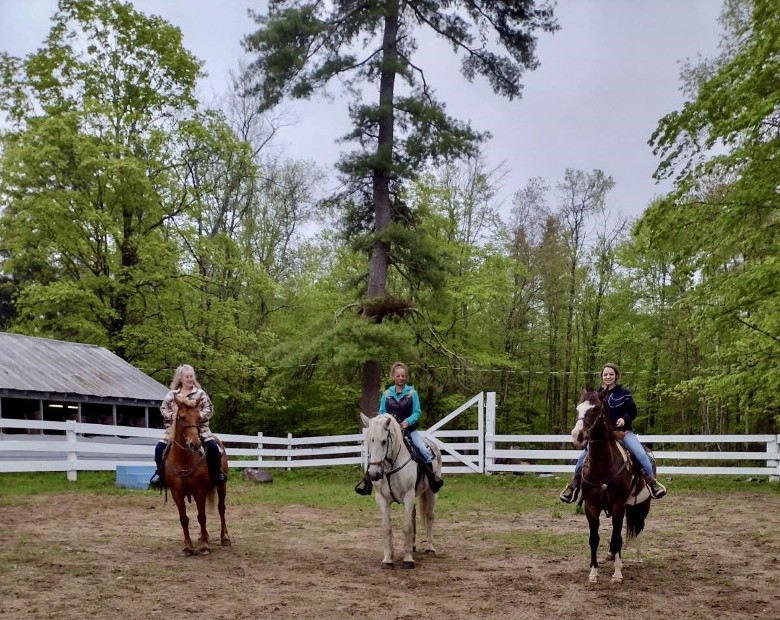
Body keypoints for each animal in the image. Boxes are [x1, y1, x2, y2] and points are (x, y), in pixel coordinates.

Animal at [161, 394, 229, 556]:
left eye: (199, 417)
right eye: (181, 417)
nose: (195, 444)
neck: (184, 459)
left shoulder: (200, 490)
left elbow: (201, 516)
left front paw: (204, 546)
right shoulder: (176, 492)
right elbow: (183, 518)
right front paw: (188, 547)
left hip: (221, 485)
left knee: (221, 508)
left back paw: (224, 537)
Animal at [358, 412, 438, 568]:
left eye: (384, 441)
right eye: (369, 441)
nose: (374, 474)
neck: (390, 468)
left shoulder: (408, 496)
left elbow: (406, 527)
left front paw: (408, 559)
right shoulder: (382, 499)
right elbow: (387, 528)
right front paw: (388, 558)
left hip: (430, 492)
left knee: (429, 516)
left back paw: (430, 548)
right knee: (413, 516)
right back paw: (412, 545)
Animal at [568, 390, 652, 584]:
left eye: (596, 408)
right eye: (578, 408)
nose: (577, 435)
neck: (602, 465)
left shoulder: (618, 505)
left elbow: (616, 537)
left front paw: (617, 574)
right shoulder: (591, 506)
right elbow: (594, 539)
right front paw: (593, 573)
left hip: (643, 505)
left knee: (639, 528)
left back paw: (637, 557)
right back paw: (611, 555)